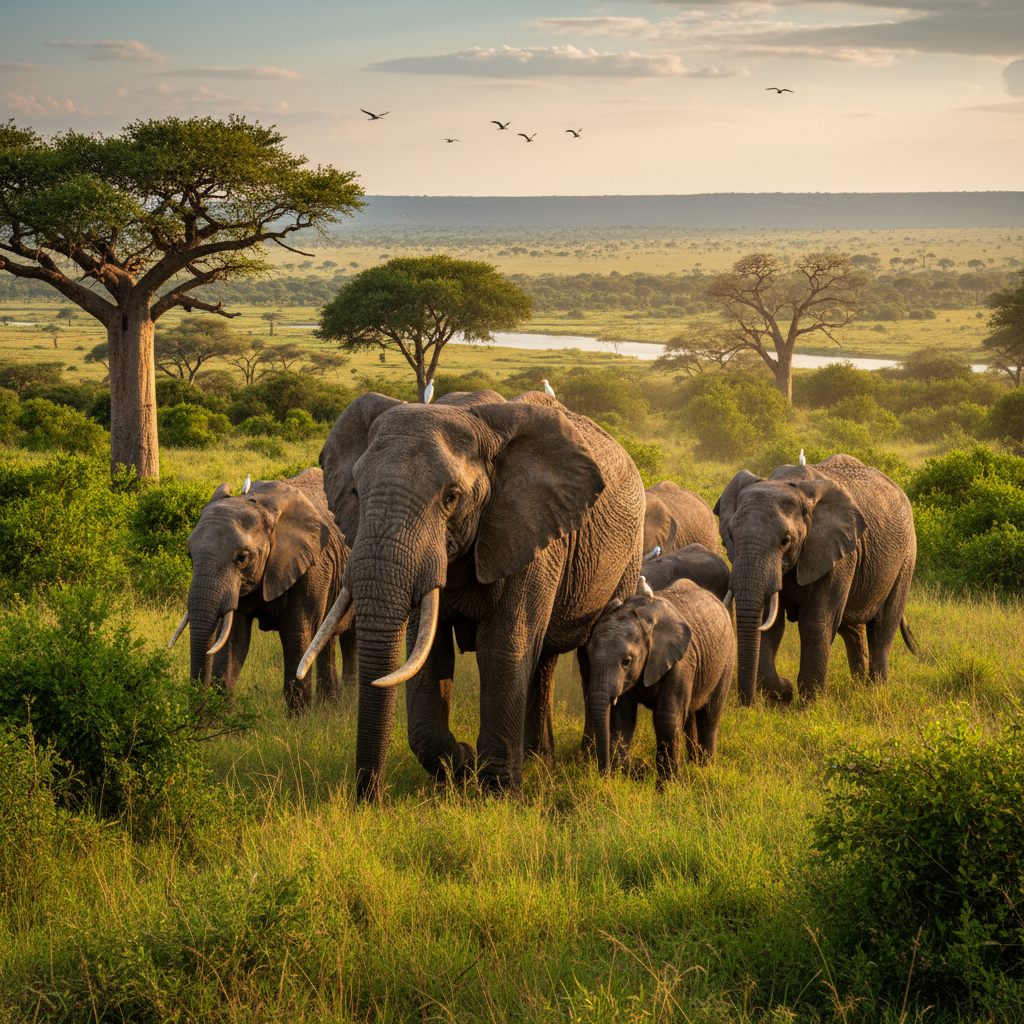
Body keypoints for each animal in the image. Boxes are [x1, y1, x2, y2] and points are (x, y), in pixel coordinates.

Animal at [169, 468, 355, 712]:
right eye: (190, 556)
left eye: (242, 558)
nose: (196, 716)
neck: (260, 504)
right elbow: (233, 640)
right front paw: (221, 719)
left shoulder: (313, 568)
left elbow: (297, 635)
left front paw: (299, 719)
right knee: (327, 639)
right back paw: (331, 704)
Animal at [302, 390, 646, 800]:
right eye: (355, 491)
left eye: (451, 498)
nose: (369, 799)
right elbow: (429, 653)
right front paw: (460, 767)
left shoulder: (527, 531)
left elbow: (503, 648)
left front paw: (499, 796)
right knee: (543, 659)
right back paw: (537, 759)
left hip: (628, 555)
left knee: (587, 652)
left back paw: (589, 760)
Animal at [585, 579, 734, 783]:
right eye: (589, 656)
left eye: (626, 662)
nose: (604, 776)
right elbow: (623, 718)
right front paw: (637, 770)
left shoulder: (680, 663)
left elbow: (667, 719)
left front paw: (668, 787)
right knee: (690, 717)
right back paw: (694, 765)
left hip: (726, 660)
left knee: (709, 717)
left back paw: (705, 770)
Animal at [714, 454, 918, 706]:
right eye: (730, 537)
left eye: (785, 541)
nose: (747, 703)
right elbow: (770, 623)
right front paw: (783, 694)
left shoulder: (838, 553)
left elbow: (816, 622)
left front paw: (808, 705)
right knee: (852, 628)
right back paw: (859, 687)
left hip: (906, 557)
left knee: (883, 626)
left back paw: (874, 690)